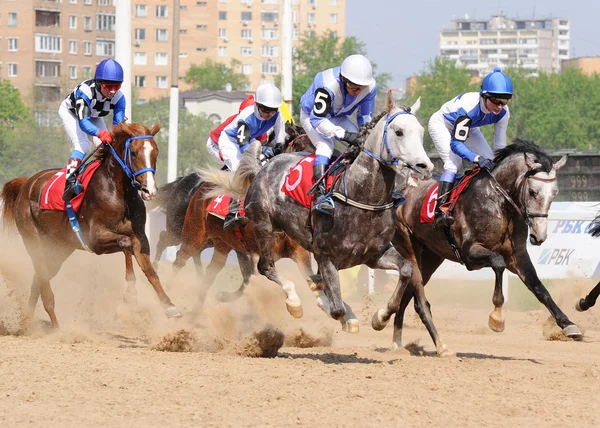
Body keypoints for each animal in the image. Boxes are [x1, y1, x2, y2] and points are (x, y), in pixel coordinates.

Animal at [1, 122, 182, 330]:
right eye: (134, 153)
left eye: (156, 152)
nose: (149, 190)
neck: (118, 193)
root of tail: (26, 184)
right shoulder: (95, 240)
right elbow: (125, 243)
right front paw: (130, 294)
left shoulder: (140, 237)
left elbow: (150, 271)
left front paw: (170, 306)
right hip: (34, 240)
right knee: (43, 281)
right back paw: (56, 328)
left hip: (58, 250)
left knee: (38, 278)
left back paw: (28, 321)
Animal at [204, 91, 438, 348]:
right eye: (398, 131)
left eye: (421, 131)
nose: (425, 166)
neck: (362, 197)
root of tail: (264, 166)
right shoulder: (325, 255)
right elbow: (335, 308)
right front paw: (337, 309)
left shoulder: (373, 254)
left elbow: (406, 270)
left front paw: (380, 317)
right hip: (264, 226)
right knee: (266, 267)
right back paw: (294, 301)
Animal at [386, 139, 584, 352]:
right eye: (532, 192)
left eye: (554, 193)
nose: (539, 236)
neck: (499, 203)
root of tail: (401, 191)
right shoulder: (470, 253)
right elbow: (498, 263)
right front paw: (497, 317)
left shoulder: (517, 256)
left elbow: (538, 287)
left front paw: (568, 324)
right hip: (408, 245)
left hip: (432, 257)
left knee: (411, 291)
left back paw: (396, 339)